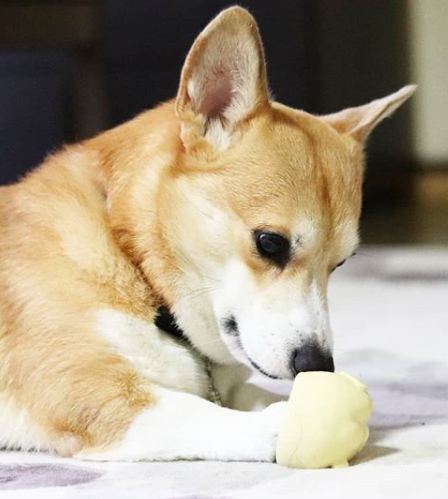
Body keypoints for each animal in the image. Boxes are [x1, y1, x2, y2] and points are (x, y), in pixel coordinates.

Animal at [0, 5, 414, 462]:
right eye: (270, 243)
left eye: (338, 264)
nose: (317, 366)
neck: (132, 260)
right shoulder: (94, 392)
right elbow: (197, 412)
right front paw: (283, 422)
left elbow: (247, 393)